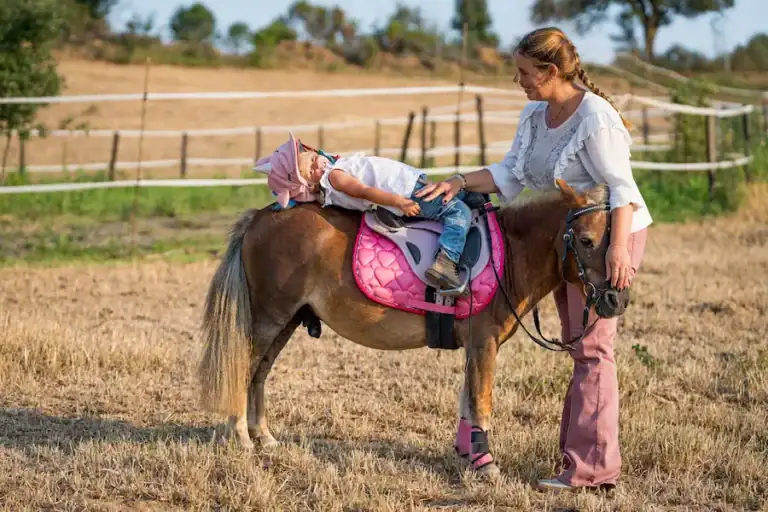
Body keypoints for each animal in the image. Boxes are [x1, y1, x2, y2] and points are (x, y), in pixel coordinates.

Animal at [196, 178, 629, 480]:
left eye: (614, 240)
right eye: (586, 240)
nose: (616, 299)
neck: (508, 255)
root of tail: (259, 216)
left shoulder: (474, 348)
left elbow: (467, 400)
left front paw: (468, 454)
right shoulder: (484, 344)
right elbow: (482, 401)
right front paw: (486, 463)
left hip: (284, 320)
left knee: (259, 373)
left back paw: (264, 437)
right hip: (269, 316)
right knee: (244, 367)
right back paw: (241, 437)